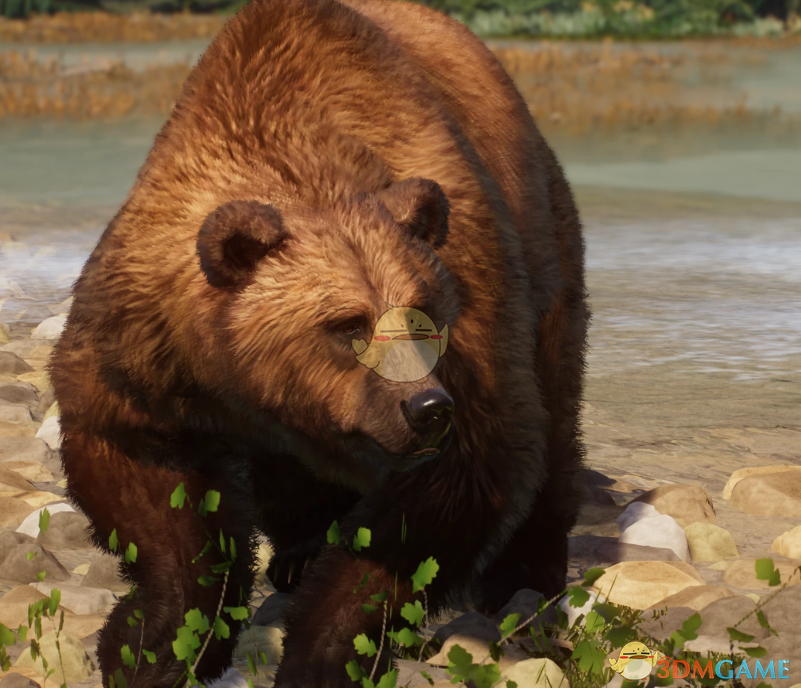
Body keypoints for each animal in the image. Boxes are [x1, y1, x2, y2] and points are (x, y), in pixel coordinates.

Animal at [47, 0, 590, 685]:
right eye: (347, 325)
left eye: (422, 316)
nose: (426, 408)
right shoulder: (148, 342)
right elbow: (144, 472)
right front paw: (154, 640)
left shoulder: (473, 299)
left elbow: (451, 488)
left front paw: (322, 650)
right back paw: (298, 548)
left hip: (542, 243)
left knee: (554, 407)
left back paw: (525, 578)